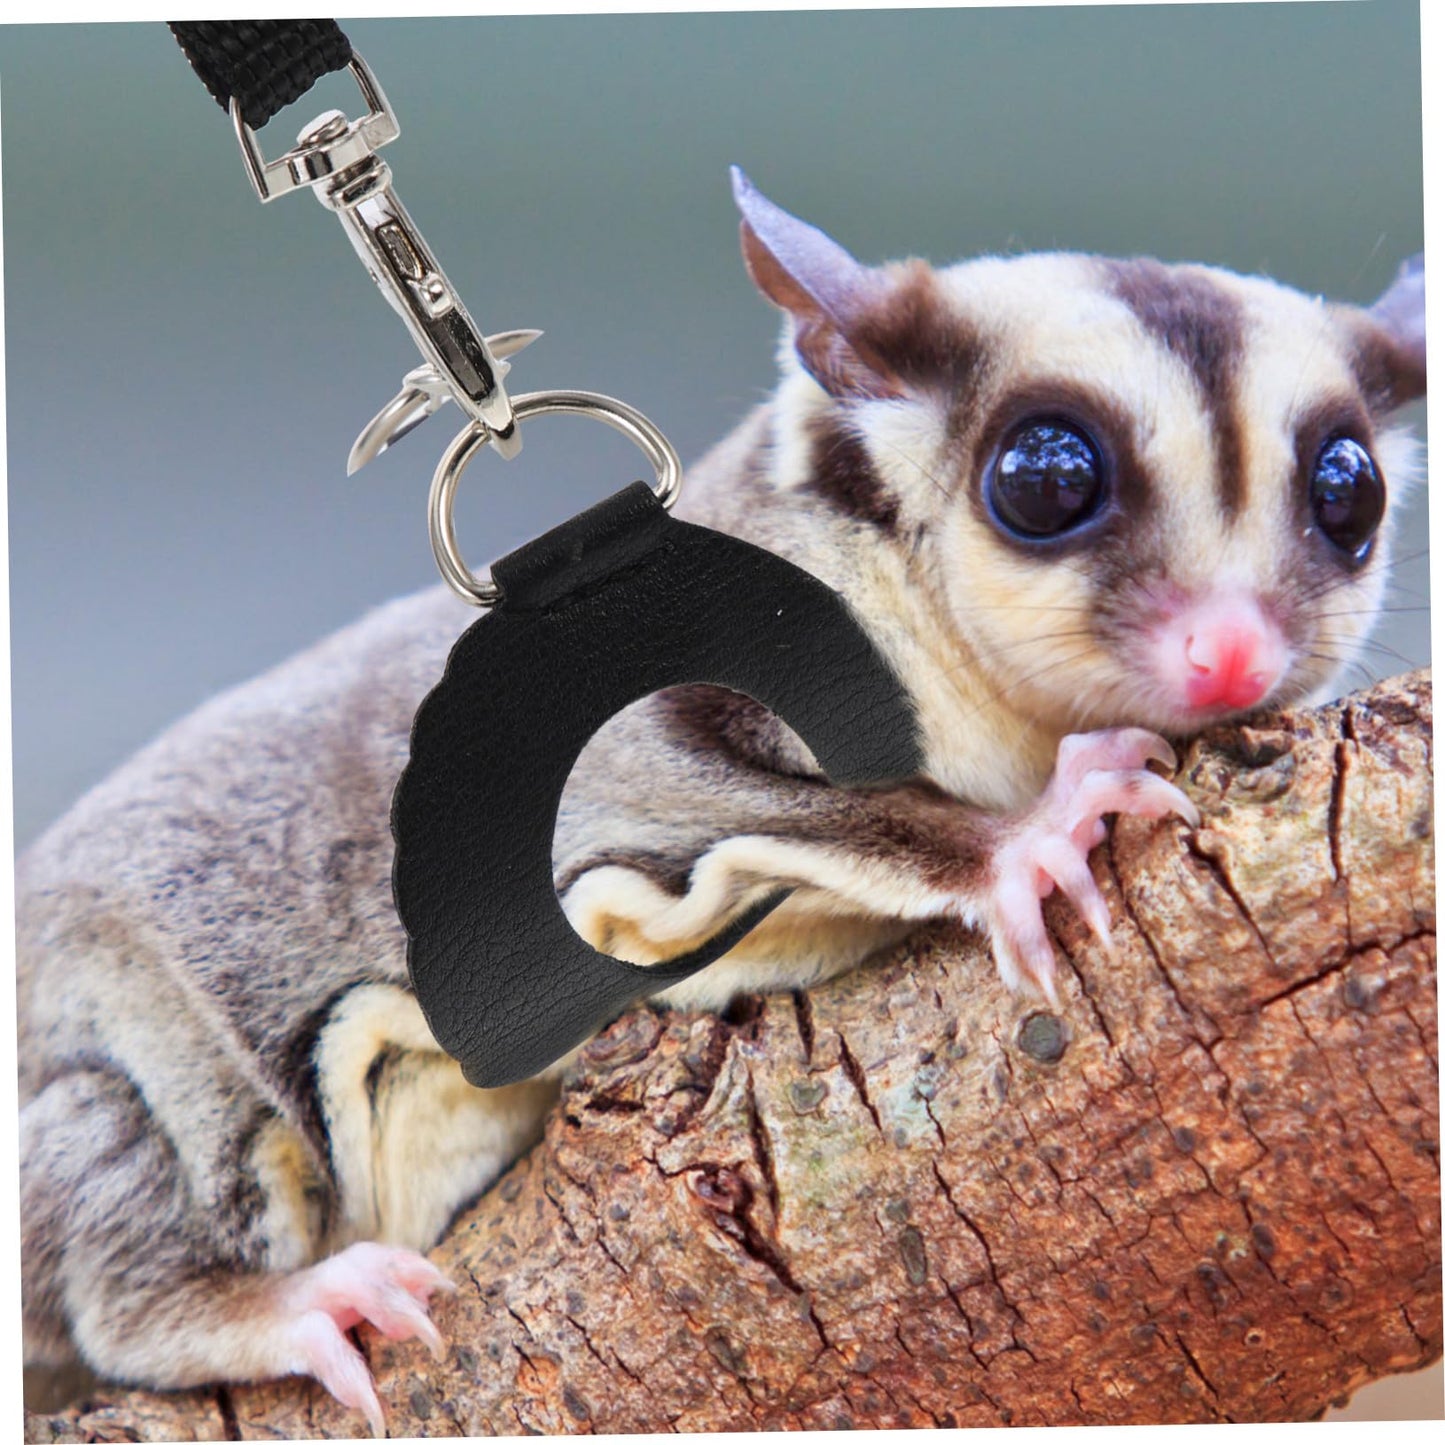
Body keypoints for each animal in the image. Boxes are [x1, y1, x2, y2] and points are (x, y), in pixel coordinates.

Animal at [17, 171, 1426, 1434]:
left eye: (1347, 493)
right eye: (1043, 476)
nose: (1229, 653)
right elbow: (703, 798)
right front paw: (1023, 840)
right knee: (130, 1151)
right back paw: (278, 1307)